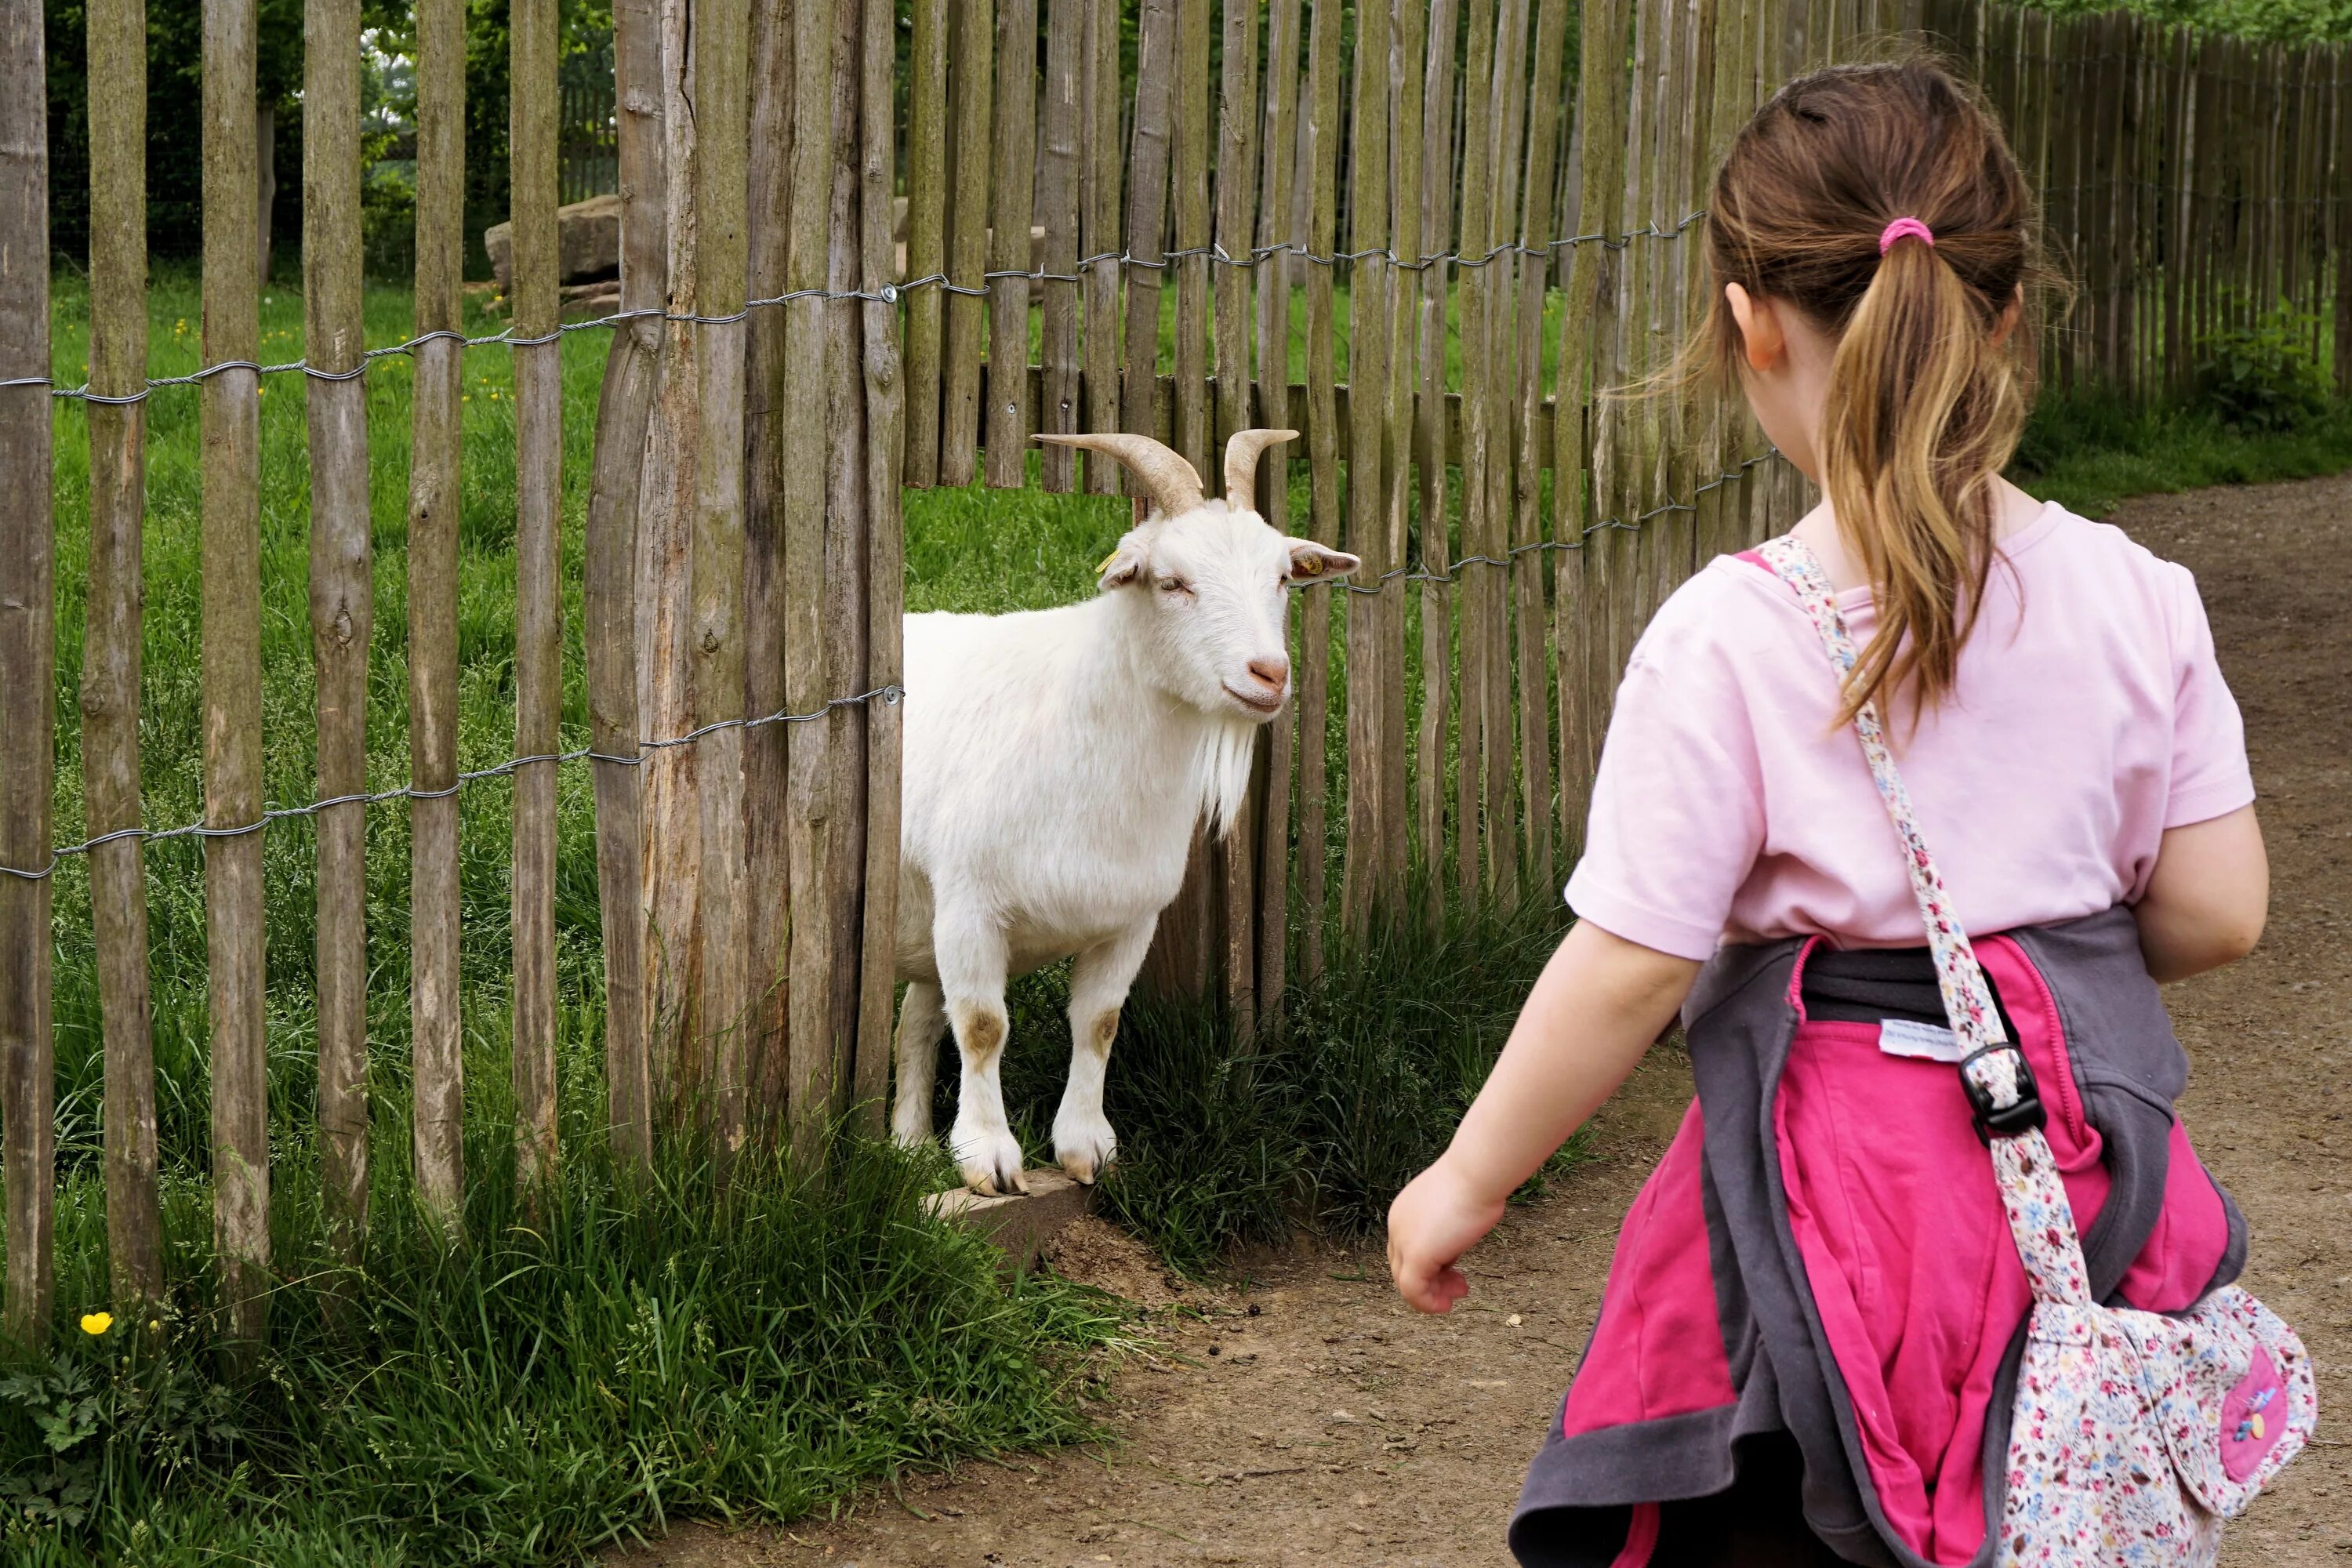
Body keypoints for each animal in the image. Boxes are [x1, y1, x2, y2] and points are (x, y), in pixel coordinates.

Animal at [889, 430, 1364, 1189]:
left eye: (1284, 579)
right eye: (1172, 582)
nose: (1270, 674)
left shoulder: (1129, 920)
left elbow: (1100, 1022)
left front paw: (1087, 1147)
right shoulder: (970, 908)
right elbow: (984, 1026)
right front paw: (989, 1157)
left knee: (915, 1022)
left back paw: (905, 1144)